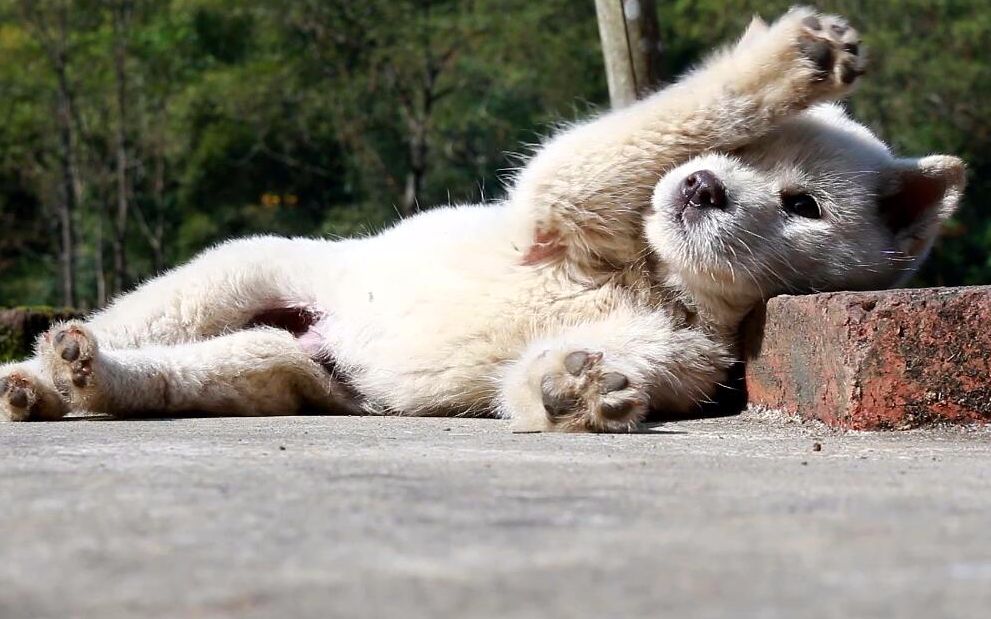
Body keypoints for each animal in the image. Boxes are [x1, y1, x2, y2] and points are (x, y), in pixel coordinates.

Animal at [0, 10, 960, 436]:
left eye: (802, 204)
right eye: (735, 153)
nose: (697, 188)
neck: (655, 275)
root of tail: (311, 332)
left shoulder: (682, 356)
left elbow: (543, 379)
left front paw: (573, 390)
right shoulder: (557, 206)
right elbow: (634, 132)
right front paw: (783, 61)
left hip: (275, 367)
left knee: (190, 375)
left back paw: (86, 380)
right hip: (229, 277)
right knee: (143, 319)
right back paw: (40, 375)